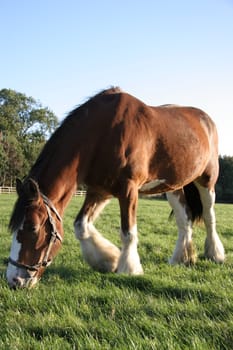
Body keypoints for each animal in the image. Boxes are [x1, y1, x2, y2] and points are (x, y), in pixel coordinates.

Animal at [6, 87, 225, 288]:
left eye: (33, 227)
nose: (14, 280)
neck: (103, 132)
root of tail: (206, 120)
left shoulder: (128, 189)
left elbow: (128, 233)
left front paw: (129, 268)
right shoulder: (99, 190)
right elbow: (81, 226)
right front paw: (108, 260)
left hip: (206, 181)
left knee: (209, 216)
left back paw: (215, 254)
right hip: (173, 186)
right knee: (184, 219)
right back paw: (181, 258)